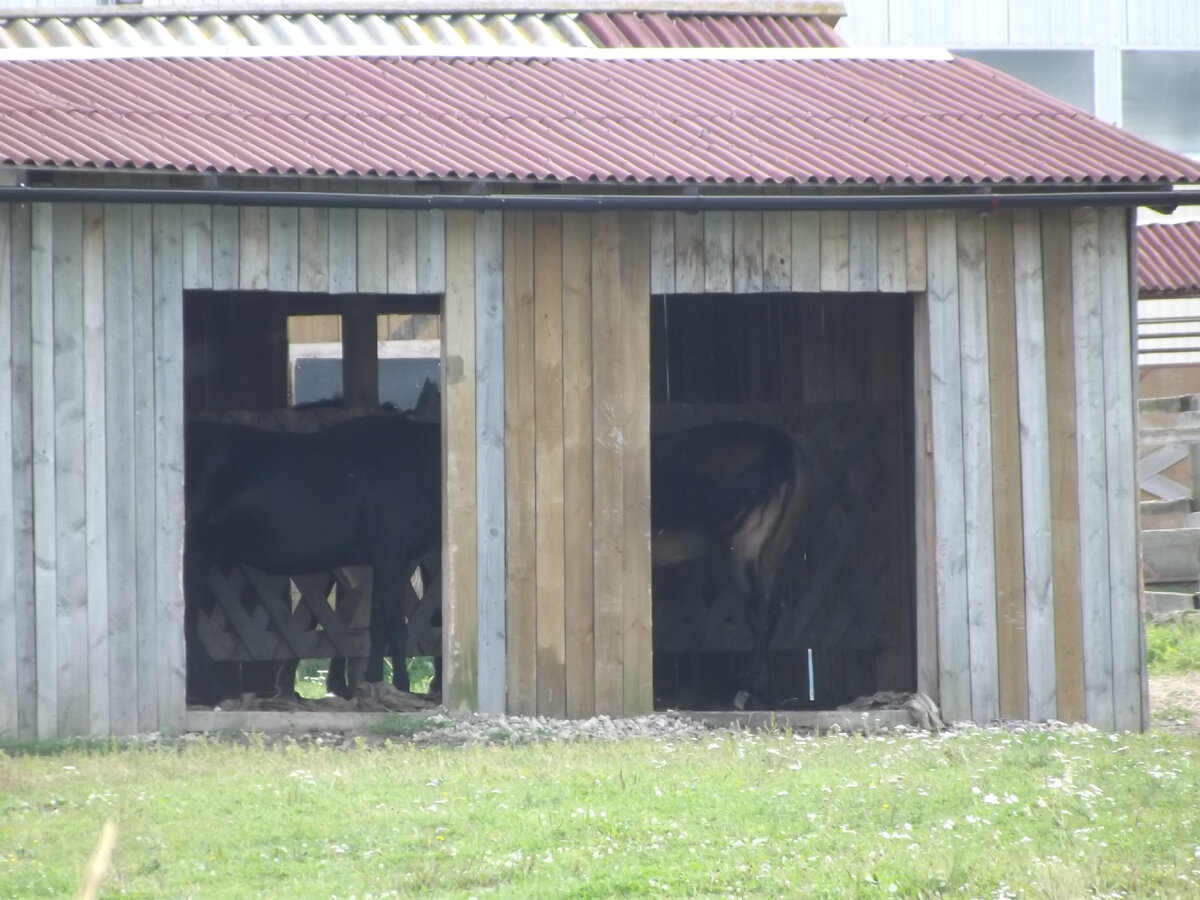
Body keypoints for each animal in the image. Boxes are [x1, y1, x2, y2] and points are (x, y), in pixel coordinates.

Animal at [180, 420, 439, 710]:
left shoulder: (389, 560)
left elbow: (378, 626)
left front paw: (376, 684)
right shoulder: (391, 553)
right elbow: (395, 624)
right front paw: (402, 688)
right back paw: (210, 692)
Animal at [652, 422, 811, 710]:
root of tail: (777, 441)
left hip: (744, 547)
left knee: (757, 611)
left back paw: (749, 690)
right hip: (775, 553)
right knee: (771, 612)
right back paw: (762, 692)